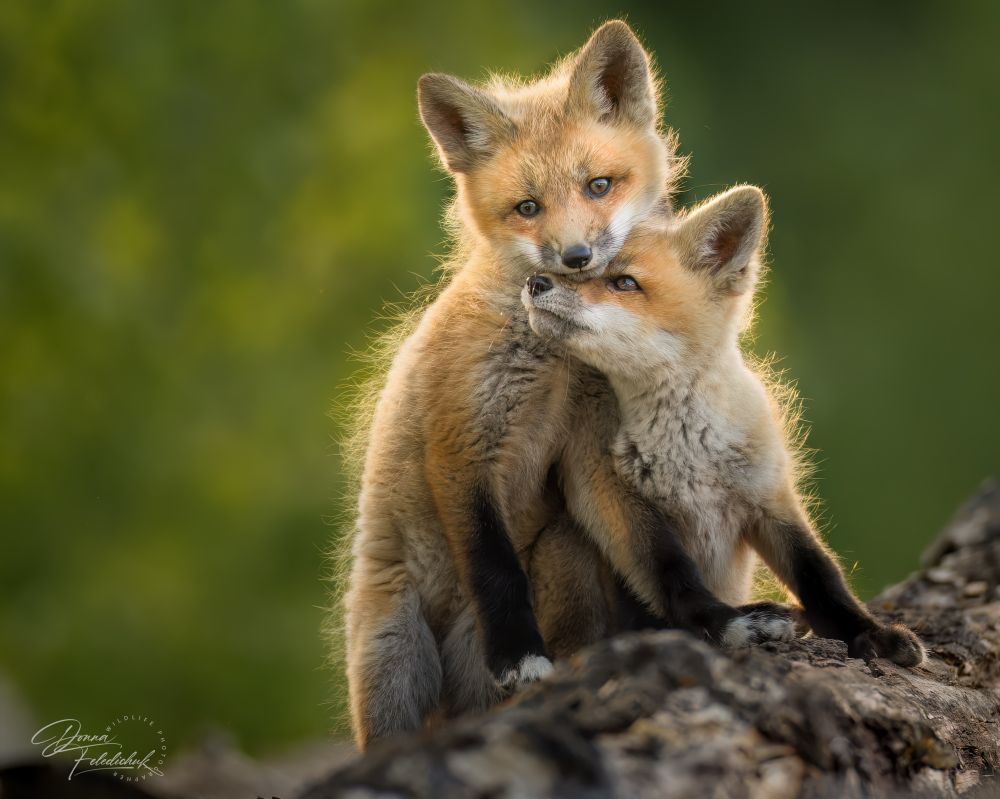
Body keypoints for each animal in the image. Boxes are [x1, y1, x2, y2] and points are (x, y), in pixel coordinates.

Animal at [342, 21, 686, 748]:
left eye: (598, 185)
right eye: (527, 207)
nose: (575, 258)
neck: (548, 365)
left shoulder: (593, 449)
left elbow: (658, 555)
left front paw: (726, 620)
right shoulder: (459, 448)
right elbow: (495, 568)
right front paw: (521, 657)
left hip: (563, 546)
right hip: (394, 658)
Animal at [521, 185, 925, 665]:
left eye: (624, 282)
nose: (535, 283)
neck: (687, 451)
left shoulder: (769, 498)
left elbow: (820, 577)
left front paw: (870, 632)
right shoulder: (619, 504)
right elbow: (674, 580)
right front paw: (730, 626)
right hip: (565, 542)